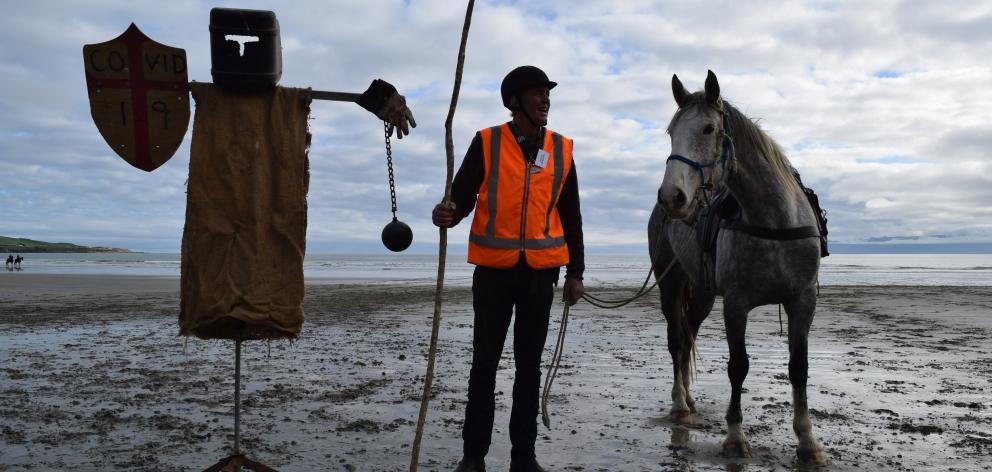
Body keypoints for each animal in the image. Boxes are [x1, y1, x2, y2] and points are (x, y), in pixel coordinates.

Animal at [648, 70, 826, 464]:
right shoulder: (736, 303)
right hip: (671, 285)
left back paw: (689, 398)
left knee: (688, 336)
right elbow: (738, 366)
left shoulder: (803, 301)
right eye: (671, 132)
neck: (773, 219)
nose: (671, 197)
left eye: (708, 129)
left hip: (700, 293)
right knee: (676, 340)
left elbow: (799, 368)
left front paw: (807, 441)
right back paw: (679, 403)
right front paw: (734, 436)